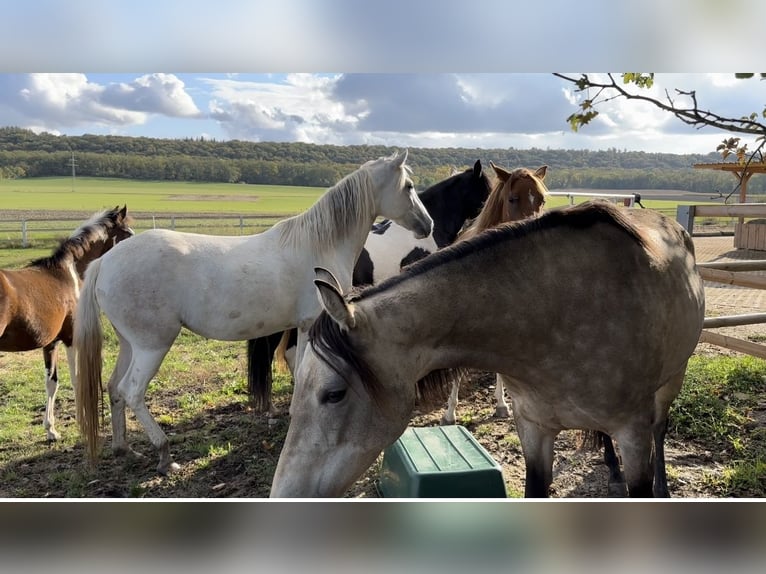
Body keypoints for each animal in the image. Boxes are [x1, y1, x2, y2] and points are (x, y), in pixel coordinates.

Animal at [0, 207, 134, 440]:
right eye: (127, 233)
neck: (68, 272)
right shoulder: (71, 338)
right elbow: (76, 378)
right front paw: (82, 422)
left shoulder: (50, 343)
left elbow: (51, 383)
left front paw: (51, 429)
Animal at [75, 150, 436, 476]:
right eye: (409, 186)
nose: (427, 225)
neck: (319, 244)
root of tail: (104, 261)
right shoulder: (309, 325)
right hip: (152, 345)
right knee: (132, 391)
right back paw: (164, 455)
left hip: (129, 344)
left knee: (113, 388)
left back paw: (124, 449)